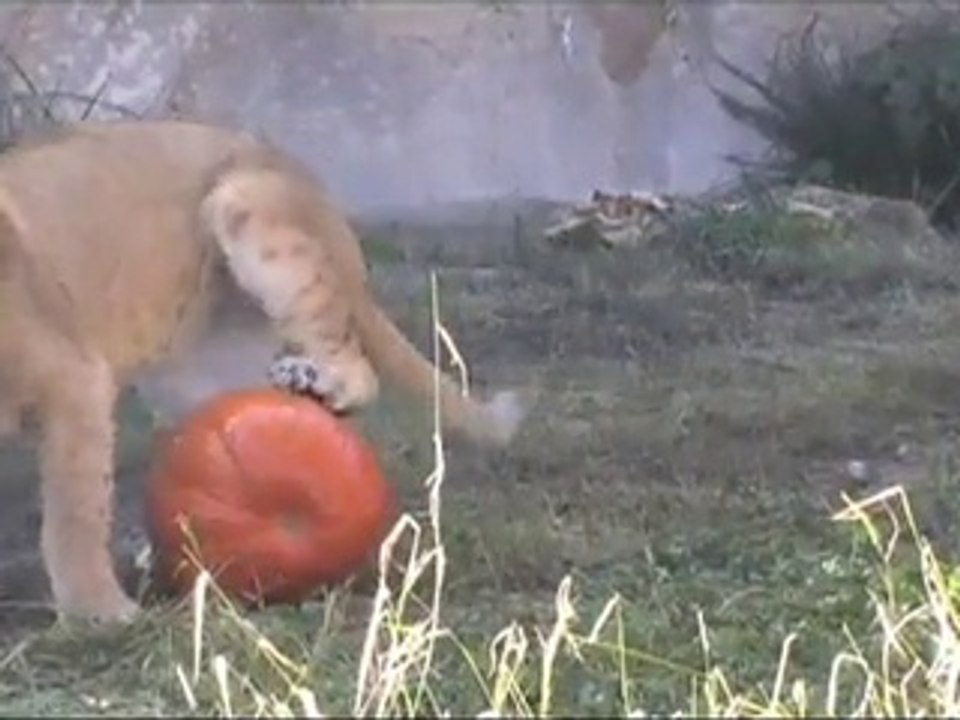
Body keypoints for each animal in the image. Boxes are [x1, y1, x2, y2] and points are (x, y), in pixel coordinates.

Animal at [0, 119, 527, 624]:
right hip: (195, 375)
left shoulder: (75, 379)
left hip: (250, 210)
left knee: (357, 366)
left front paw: (98, 609)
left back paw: (316, 380)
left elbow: (74, 511)